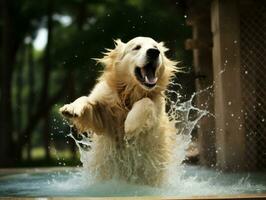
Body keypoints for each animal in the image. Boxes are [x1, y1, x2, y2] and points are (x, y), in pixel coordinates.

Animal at [59, 36, 178, 187]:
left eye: (156, 47)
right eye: (137, 47)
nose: (153, 52)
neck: (130, 93)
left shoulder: (155, 106)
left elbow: (147, 102)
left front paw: (130, 125)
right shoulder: (106, 107)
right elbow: (90, 103)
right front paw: (71, 108)